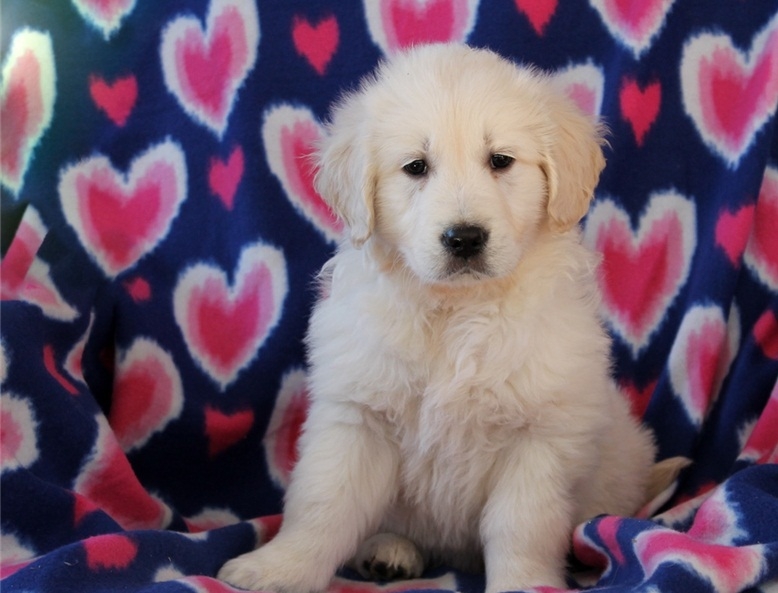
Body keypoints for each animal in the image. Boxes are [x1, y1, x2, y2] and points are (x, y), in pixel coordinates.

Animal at [218, 42, 668, 592]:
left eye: (500, 161)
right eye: (416, 167)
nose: (465, 238)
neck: (457, 311)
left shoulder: (541, 437)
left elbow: (521, 526)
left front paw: (524, 583)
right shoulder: (357, 418)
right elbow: (322, 504)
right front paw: (278, 568)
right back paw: (387, 552)